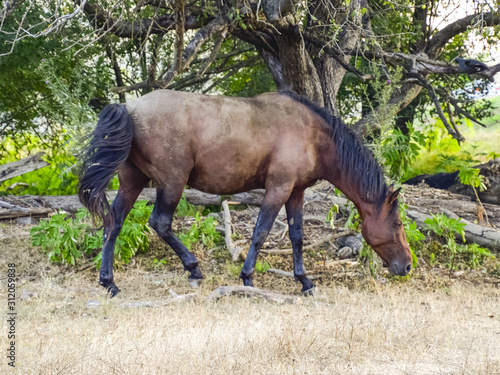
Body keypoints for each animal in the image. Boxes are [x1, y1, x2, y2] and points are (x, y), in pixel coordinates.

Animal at [79, 89, 410, 296]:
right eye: (397, 223)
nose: (407, 265)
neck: (313, 135)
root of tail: (128, 108)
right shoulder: (278, 189)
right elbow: (261, 232)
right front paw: (248, 278)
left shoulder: (296, 192)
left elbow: (297, 236)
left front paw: (304, 281)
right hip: (172, 183)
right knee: (160, 223)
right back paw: (193, 269)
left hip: (132, 182)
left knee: (113, 224)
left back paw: (109, 282)